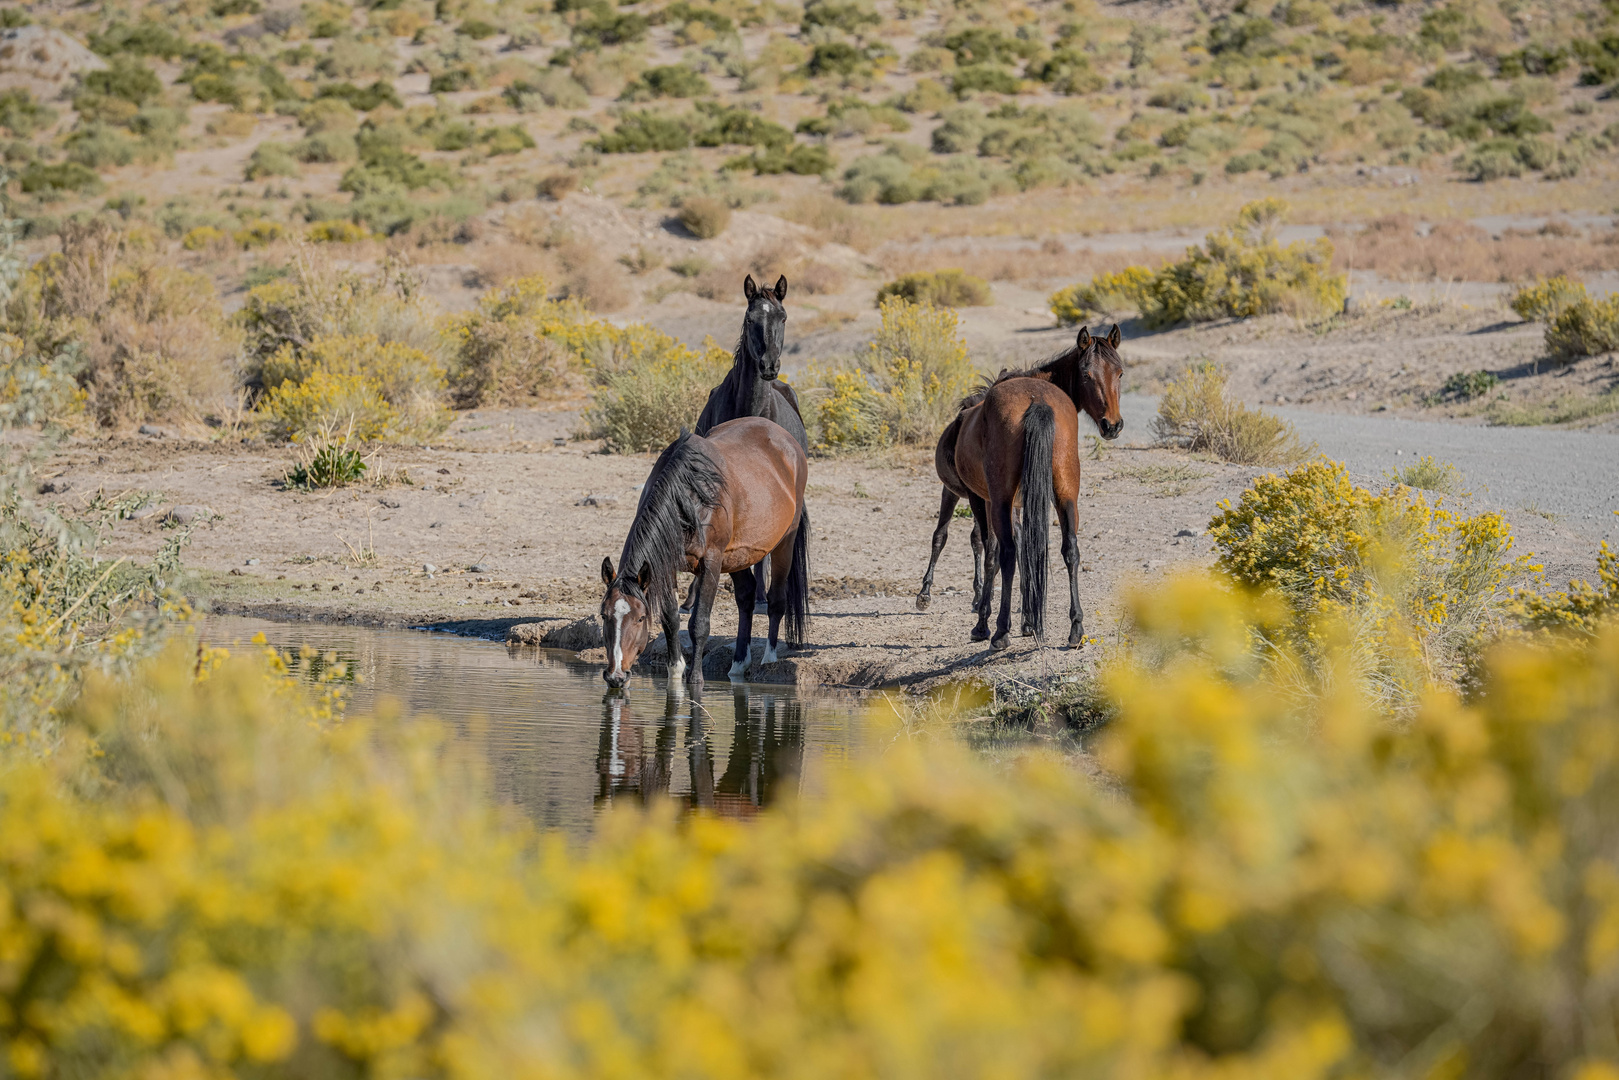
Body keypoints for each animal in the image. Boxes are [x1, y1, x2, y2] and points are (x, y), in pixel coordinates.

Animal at [602, 417, 809, 689]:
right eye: (604, 616)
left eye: (640, 617)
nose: (616, 676)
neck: (688, 498)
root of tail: (788, 440)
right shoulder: (666, 565)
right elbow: (670, 618)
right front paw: (675, 672)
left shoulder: (711, 562)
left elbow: (699, 623)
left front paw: (695, 679)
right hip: (738, 556)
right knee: (746, 597)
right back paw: (739, 664)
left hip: (784, 543)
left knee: (776, 600)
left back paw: (768, 659)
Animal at [945, 325, 1126, 650]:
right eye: (1087, 374)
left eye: (1120, 373)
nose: (1113, 425)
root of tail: (1036, 400)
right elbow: (1030, 551)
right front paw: (1029, 621)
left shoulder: (982, 500)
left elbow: (993, 555)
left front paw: (984, 623)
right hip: (1065, 495)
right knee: (1070, 550)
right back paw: (1075, 629)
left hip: (1001, 501)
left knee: (1006, 552)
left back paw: (1000, 631)